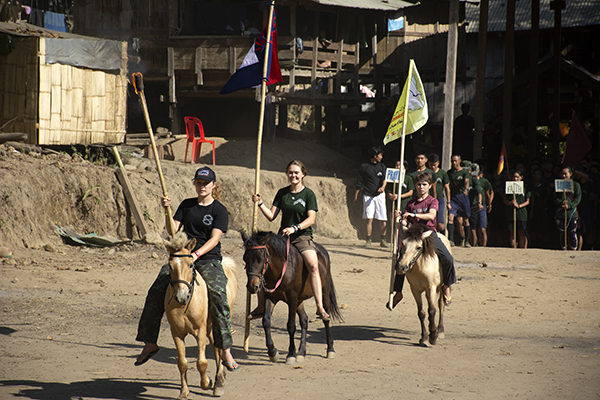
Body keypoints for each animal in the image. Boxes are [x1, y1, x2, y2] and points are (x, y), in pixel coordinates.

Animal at [165, 230, 240, 398]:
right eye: (170, 266)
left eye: (191, 264)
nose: (181, 296)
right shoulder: (176, 332)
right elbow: (182, 362)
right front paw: (184, 392)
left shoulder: (200, 330)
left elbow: (202, 362)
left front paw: (207, 383)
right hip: (211, 327)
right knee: (216, 349)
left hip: (217, 323)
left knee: (220, 348)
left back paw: (219, 382)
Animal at [240, 231, 342, 366]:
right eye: (245, 258)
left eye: (260, 259)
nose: (252, 286)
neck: (282, 269)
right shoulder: (271, 298)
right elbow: (266, 322)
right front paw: (273, 352)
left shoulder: (292, 299)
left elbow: (291, 326)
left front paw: (290, 355)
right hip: (299, 300)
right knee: (304, 320)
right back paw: (301, 352)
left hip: (323, 292)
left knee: (326, 318)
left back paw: (330, 349)